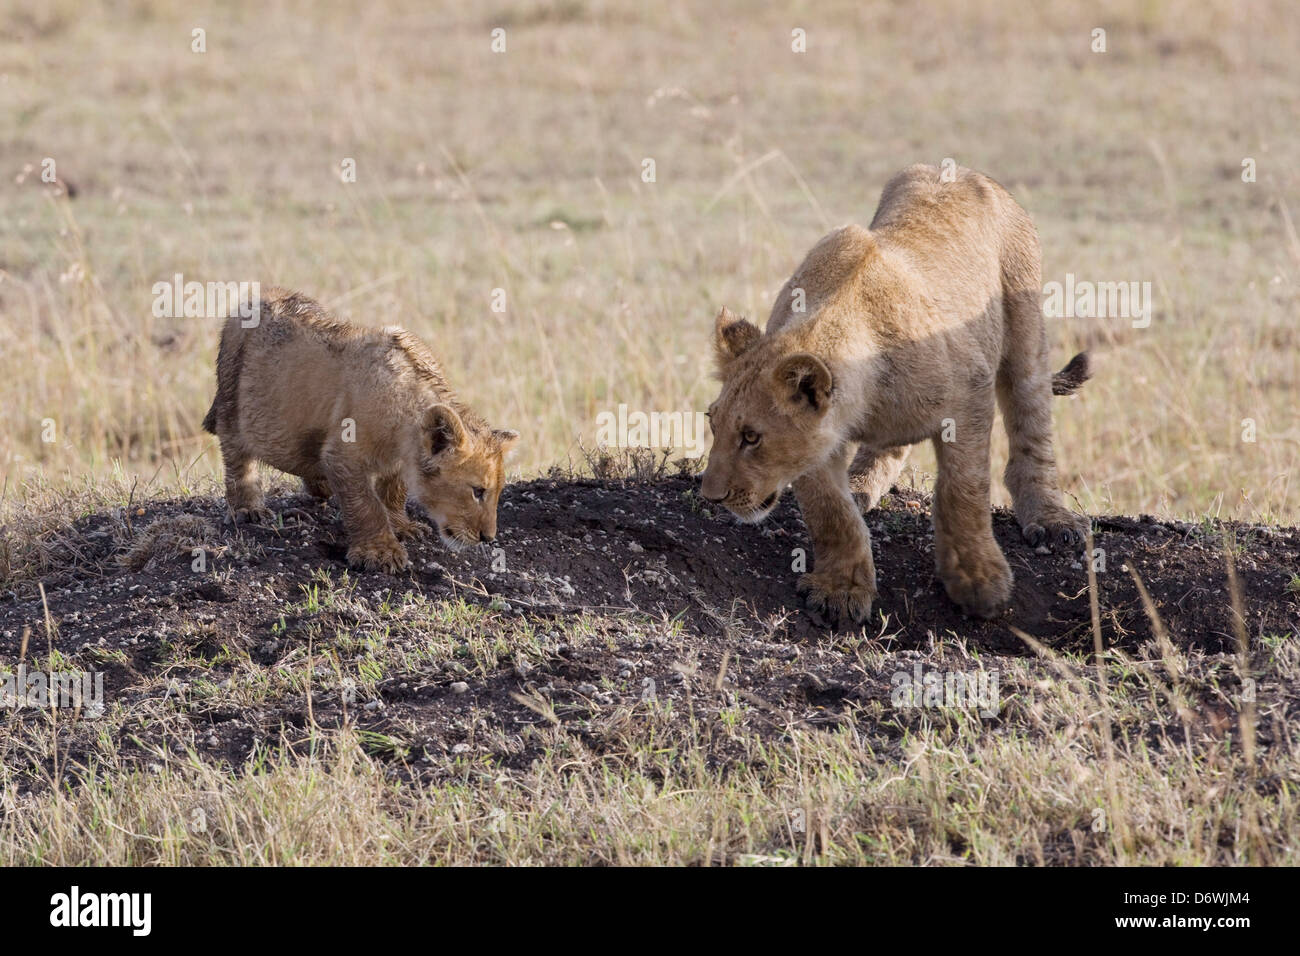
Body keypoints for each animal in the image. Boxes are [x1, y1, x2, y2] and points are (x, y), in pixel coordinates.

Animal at [201, 288, 519, 573]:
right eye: (478, 491)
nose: (487, 538)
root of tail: (253, 299)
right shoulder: (343, 453)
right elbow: (366, 505)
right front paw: (380, 552)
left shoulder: (399, 459)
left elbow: (393, 491)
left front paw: (402, 526)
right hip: (232, 400)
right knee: (238, 456)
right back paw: (248, 508)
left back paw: (319, 484)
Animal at [700, 164, 1090, 625]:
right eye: (712, 423)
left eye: (751, 437)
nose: (711, 496)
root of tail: (969, 172)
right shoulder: (820, 439)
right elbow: (830, 511)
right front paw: (841, 590)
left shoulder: (970, 392)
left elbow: (963, 490)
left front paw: (978, 580)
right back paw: (862, 485)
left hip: (1024, 329)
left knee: (1032, 421)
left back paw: (1051, 518)